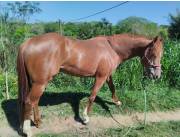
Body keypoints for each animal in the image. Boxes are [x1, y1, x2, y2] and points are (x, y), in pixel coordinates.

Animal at [16, 33, 163, 136]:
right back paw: (27, 130)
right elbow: (92, 95)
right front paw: (86, 118)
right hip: (40, 83)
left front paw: (117, 102)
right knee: (29, 101)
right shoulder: (100, 77)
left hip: (37, 83)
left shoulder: (107, 75)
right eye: (153, 54)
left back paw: (38, 122)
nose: (156, 75)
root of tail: (28, 43)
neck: (111, 48)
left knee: (34, 101)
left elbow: (112, 88)